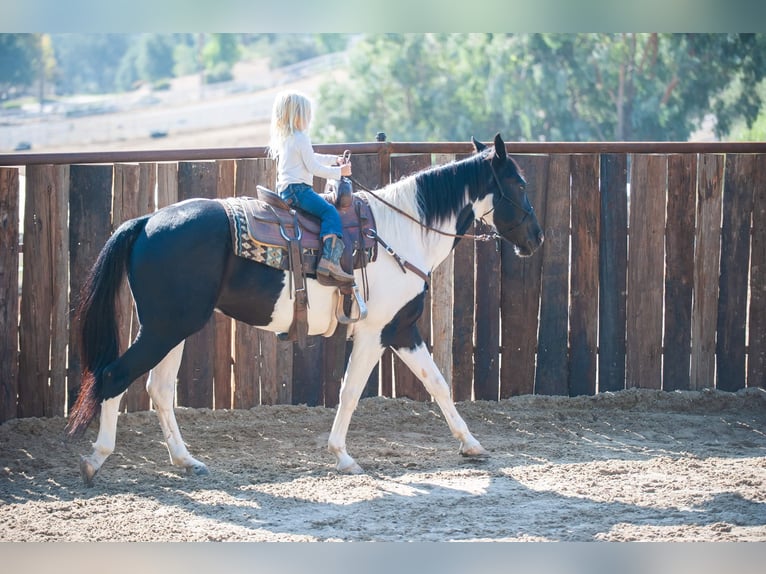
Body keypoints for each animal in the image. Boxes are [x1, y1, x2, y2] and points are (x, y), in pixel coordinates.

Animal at [66, 133, 544, 484]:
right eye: (519, 184)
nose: (537, 237)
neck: (401, 233)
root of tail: (146, 221)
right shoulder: (376, 332)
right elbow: (351, 391)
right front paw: (343, 456)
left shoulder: (403, 329)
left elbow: (439, 385)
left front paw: (472, 445)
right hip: (164, 329)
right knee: (114, 376)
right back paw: (95, 459)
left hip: (173, 329)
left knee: (159, 390)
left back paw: (186, 461)